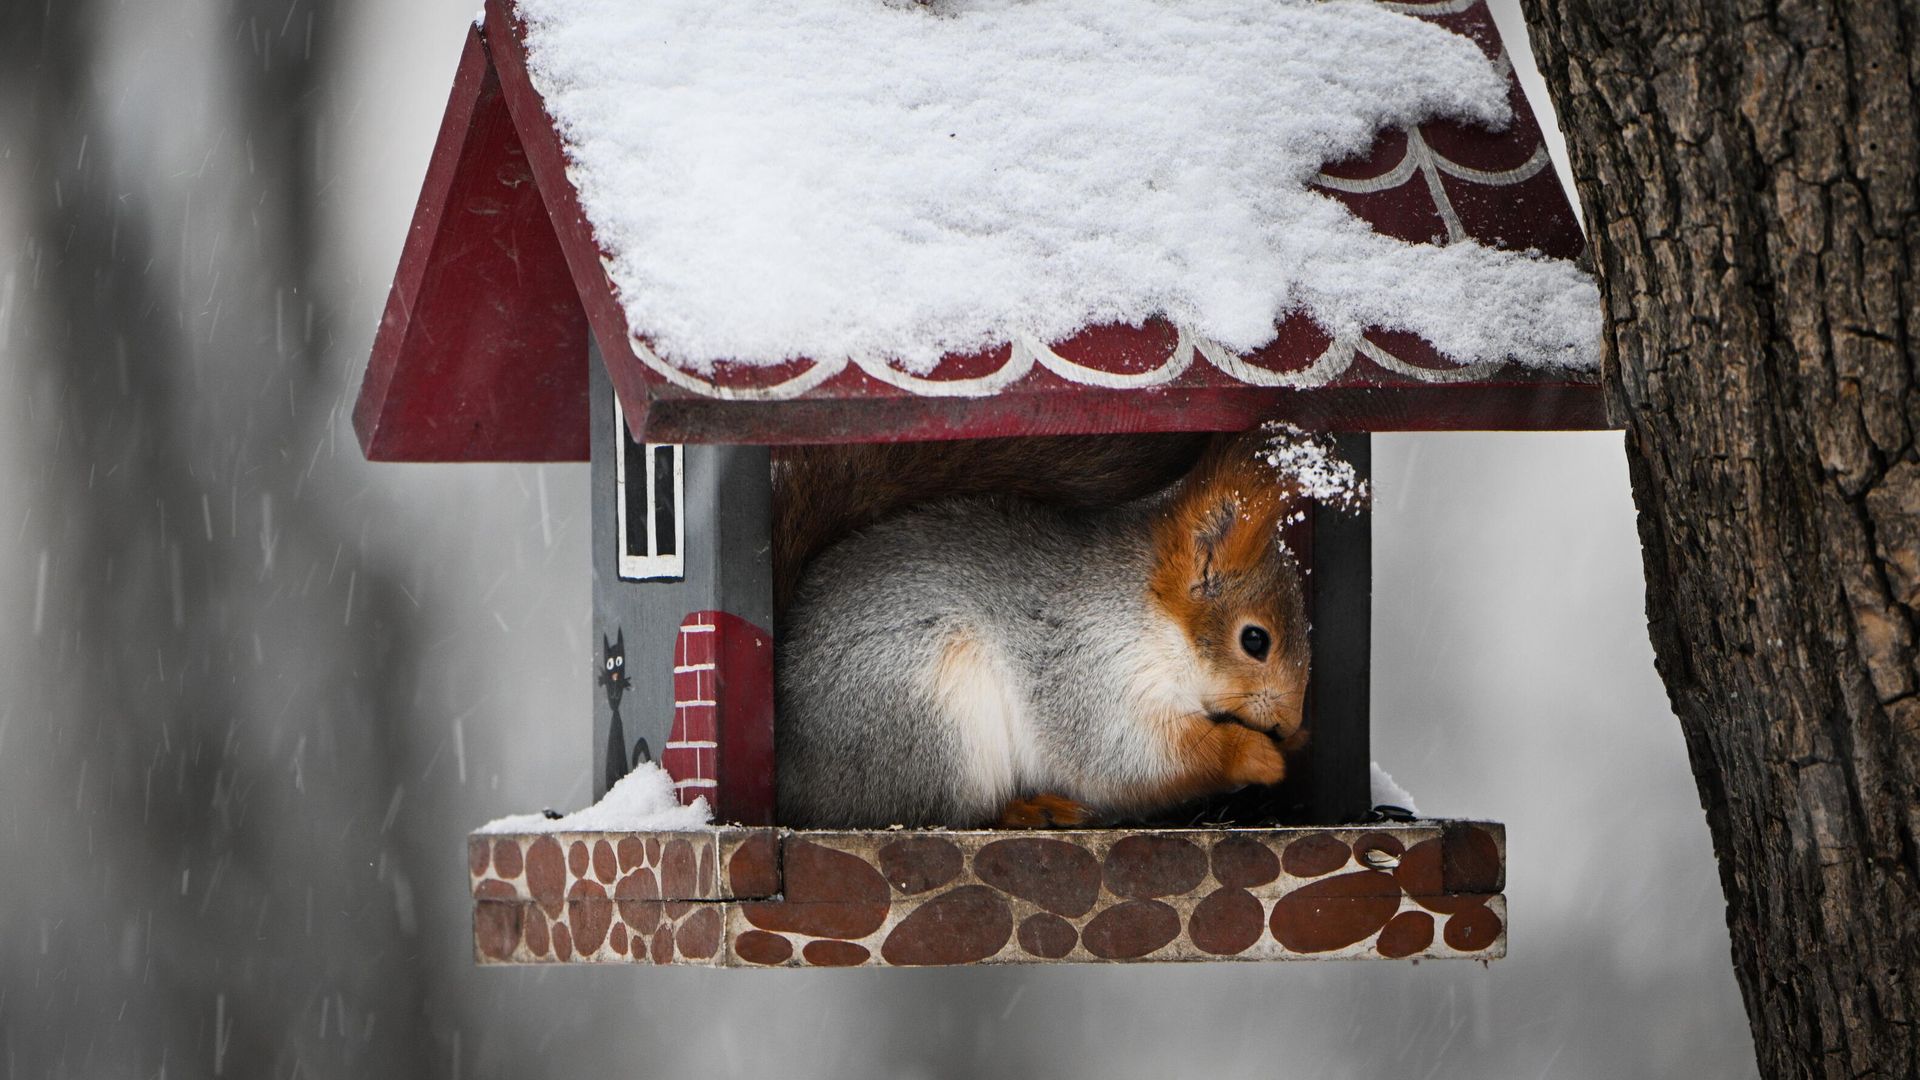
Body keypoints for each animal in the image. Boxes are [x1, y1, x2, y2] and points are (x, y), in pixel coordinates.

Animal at [771, 429, 1316, 829]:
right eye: (1254, 640)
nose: (1288, 724)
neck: (1155, 620)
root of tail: (790, 769)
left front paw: (1297, 742)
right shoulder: (1087, 666)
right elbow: (1128, 757)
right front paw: (1257, 755)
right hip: (931, 725)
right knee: (947, 815)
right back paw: (1031, 810)